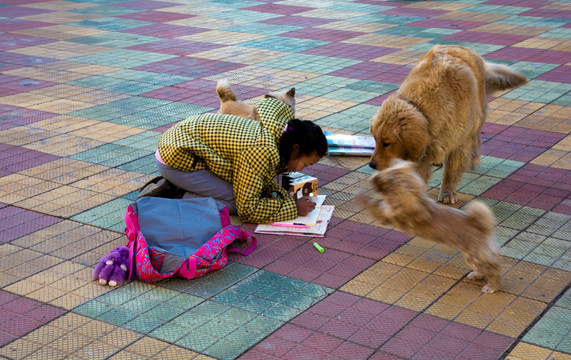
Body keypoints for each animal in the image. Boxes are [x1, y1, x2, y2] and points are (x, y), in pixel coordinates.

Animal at [360, 159, 502, 294]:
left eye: (386, 182)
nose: (374, 178)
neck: (416, 200)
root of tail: (482, 227)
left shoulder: (391, 216)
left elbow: (374, 206)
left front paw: (361, 196)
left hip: (476, 256)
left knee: (494, 271)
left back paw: (491, 287)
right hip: (471, 256)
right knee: (485, 269)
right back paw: (476, 275)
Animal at [368, 43, 528, 204]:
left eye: (387, 143)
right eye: (375, 140)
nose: (371, 165)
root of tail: (461, 47)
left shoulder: (458, 140)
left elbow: (451, 170)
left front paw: (447, 192)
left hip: (478, 113)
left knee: (476, 136)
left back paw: (474, 158)